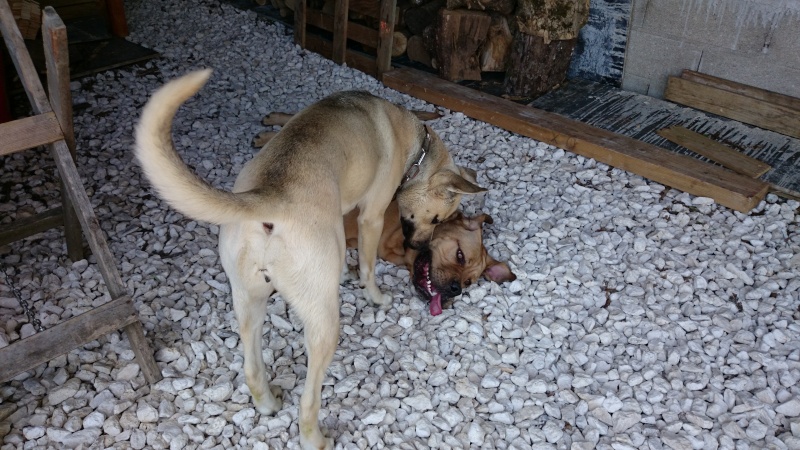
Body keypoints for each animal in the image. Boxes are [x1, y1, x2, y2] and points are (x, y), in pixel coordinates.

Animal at [134, 70, 484, 450]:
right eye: (436, 220)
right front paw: (375, 296)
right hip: (323, 322)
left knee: (252, 367)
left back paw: (268, 403)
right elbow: (368, 265)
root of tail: (268, 198)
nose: (419, 245)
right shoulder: (372, 216)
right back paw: (314, 437)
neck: (415, 147)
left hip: (247, 300)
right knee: (308, 397)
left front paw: (346, 275)